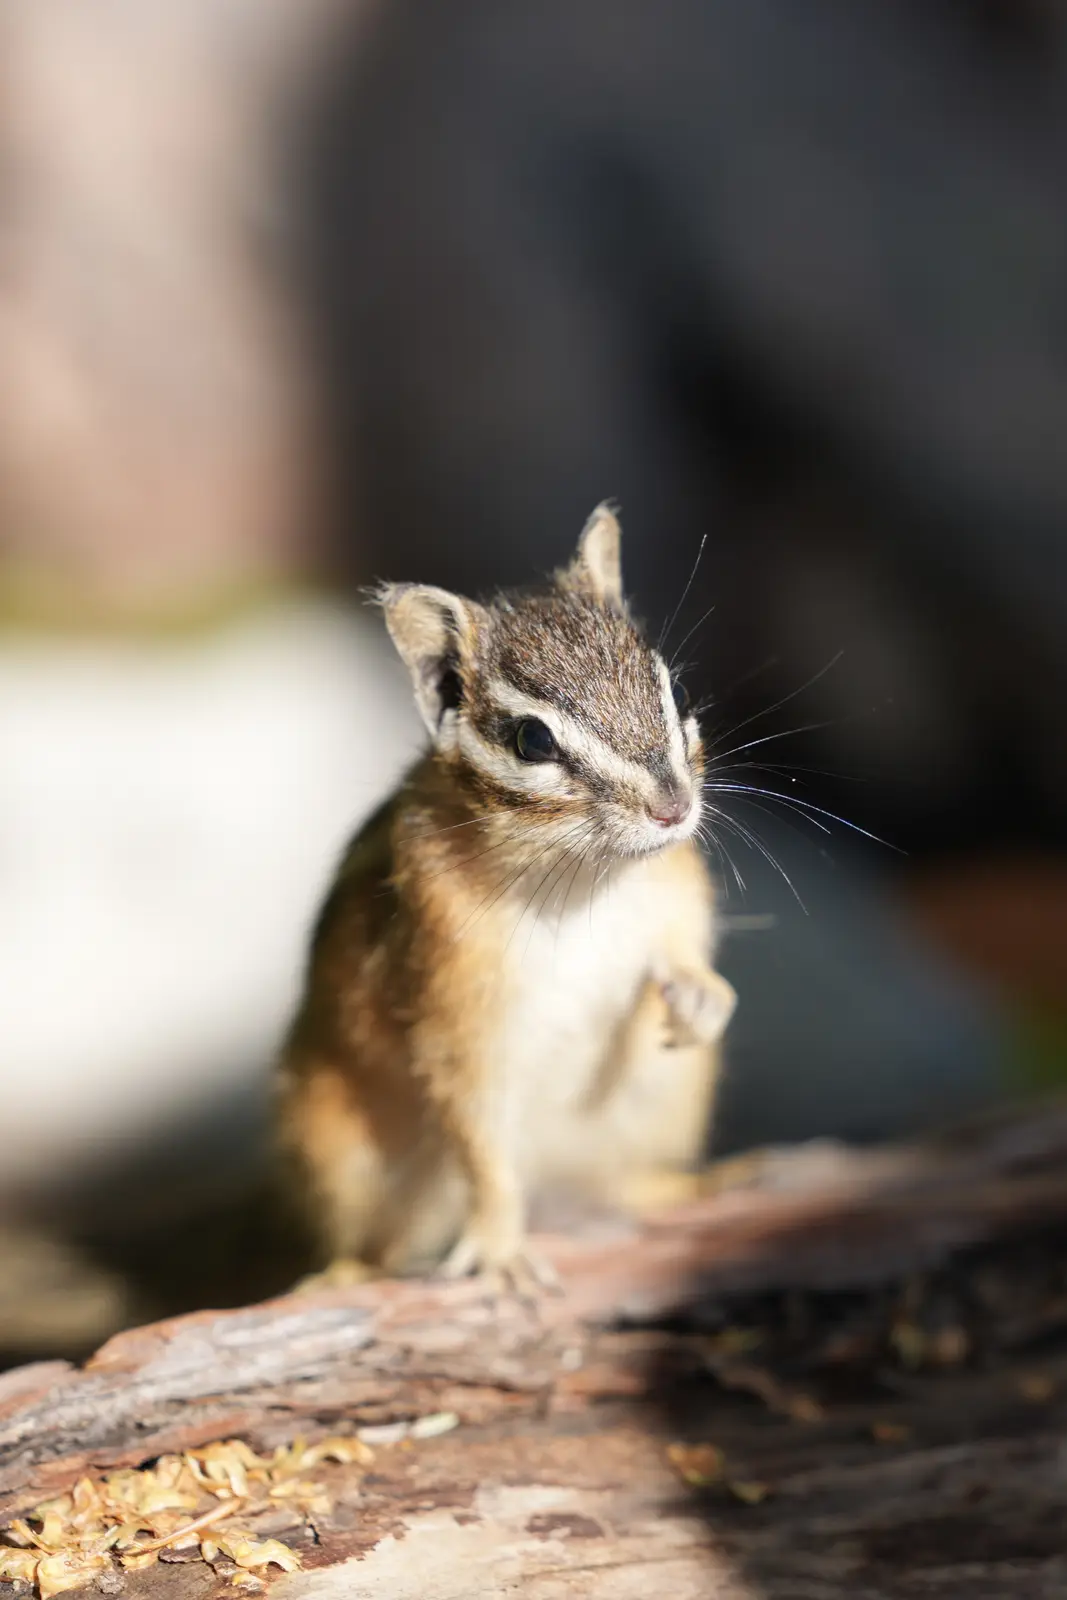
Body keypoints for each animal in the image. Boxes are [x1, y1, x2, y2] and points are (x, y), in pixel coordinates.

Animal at [277, 504, 737, 1283]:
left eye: (673, 691)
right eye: (532, 742)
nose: (673, 809)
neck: (583, 879)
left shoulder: (674, 887)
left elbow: (687, 947)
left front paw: (700, 997)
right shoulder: (457, 1004)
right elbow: (479, 1138)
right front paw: (499, 1252)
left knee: (620, 1182)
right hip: (337, 1144)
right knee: (376, 1247)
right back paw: (345, 1275)